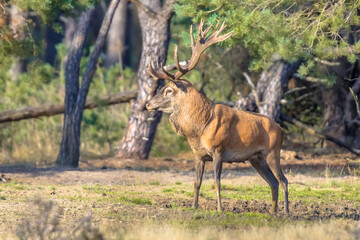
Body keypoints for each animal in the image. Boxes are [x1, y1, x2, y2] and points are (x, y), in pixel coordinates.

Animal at [145, 19, 288, 213]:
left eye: (168, 90)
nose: (148, 104)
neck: (200, 128)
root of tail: (281, 130)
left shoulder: (218, 149)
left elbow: (216, 181)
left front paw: (220, 209)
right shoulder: (198, 155)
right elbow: (197, 182)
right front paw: (194, 206)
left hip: (273, 152)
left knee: (284, 180)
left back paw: (287, 212)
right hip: (256, 158)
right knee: (273, 182)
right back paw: (273, 212)